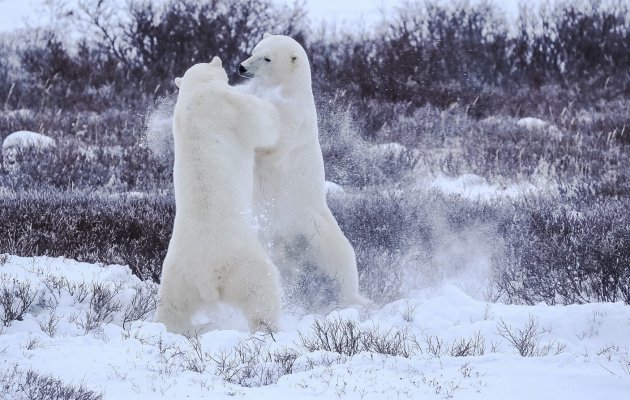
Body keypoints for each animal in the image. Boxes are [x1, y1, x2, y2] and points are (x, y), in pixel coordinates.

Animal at [156, 57, 282, 334]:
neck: (196, 95)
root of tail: (207, 276)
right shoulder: (229, 107)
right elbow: (260, 123)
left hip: (177, 275)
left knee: (172, 307)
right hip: (244, 264)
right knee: (262, 291)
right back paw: (267, 328)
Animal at [241, 36, 370, 308]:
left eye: (267, 58)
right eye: (254, 49)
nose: (241, 68)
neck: (289, 91)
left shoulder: (294, 119)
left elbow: (271, 142)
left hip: (317, 228)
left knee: (342, 259)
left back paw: (354, 298)